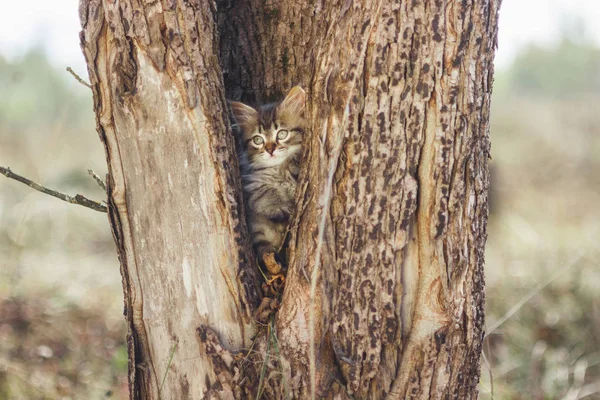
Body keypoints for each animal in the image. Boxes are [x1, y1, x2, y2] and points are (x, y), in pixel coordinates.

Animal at [230, 86, 304, 276]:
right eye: (258, 139)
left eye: (282, 134)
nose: (270, 150)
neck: (278, 170)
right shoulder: (253, 186)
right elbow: (265, 195)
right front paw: (283, 207)